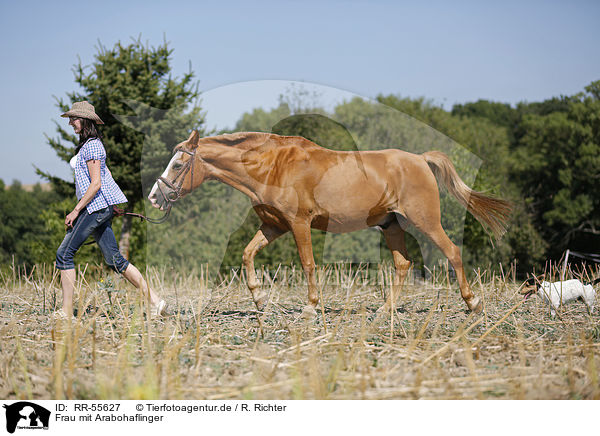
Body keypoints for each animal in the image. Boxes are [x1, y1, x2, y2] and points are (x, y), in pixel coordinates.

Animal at [150, 129, 510, 316]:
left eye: (178, 164)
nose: (155, 197)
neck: (273, 166)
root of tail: (420, 160)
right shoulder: (274, 226)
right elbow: (248, 254)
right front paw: (260, 299)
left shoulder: (298, 224)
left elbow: (308, 264)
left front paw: (310, 307)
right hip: (391, 225)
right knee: (403, 265)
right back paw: (385, 310)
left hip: (426, 221)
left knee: (452, 253)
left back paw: (473, 303)